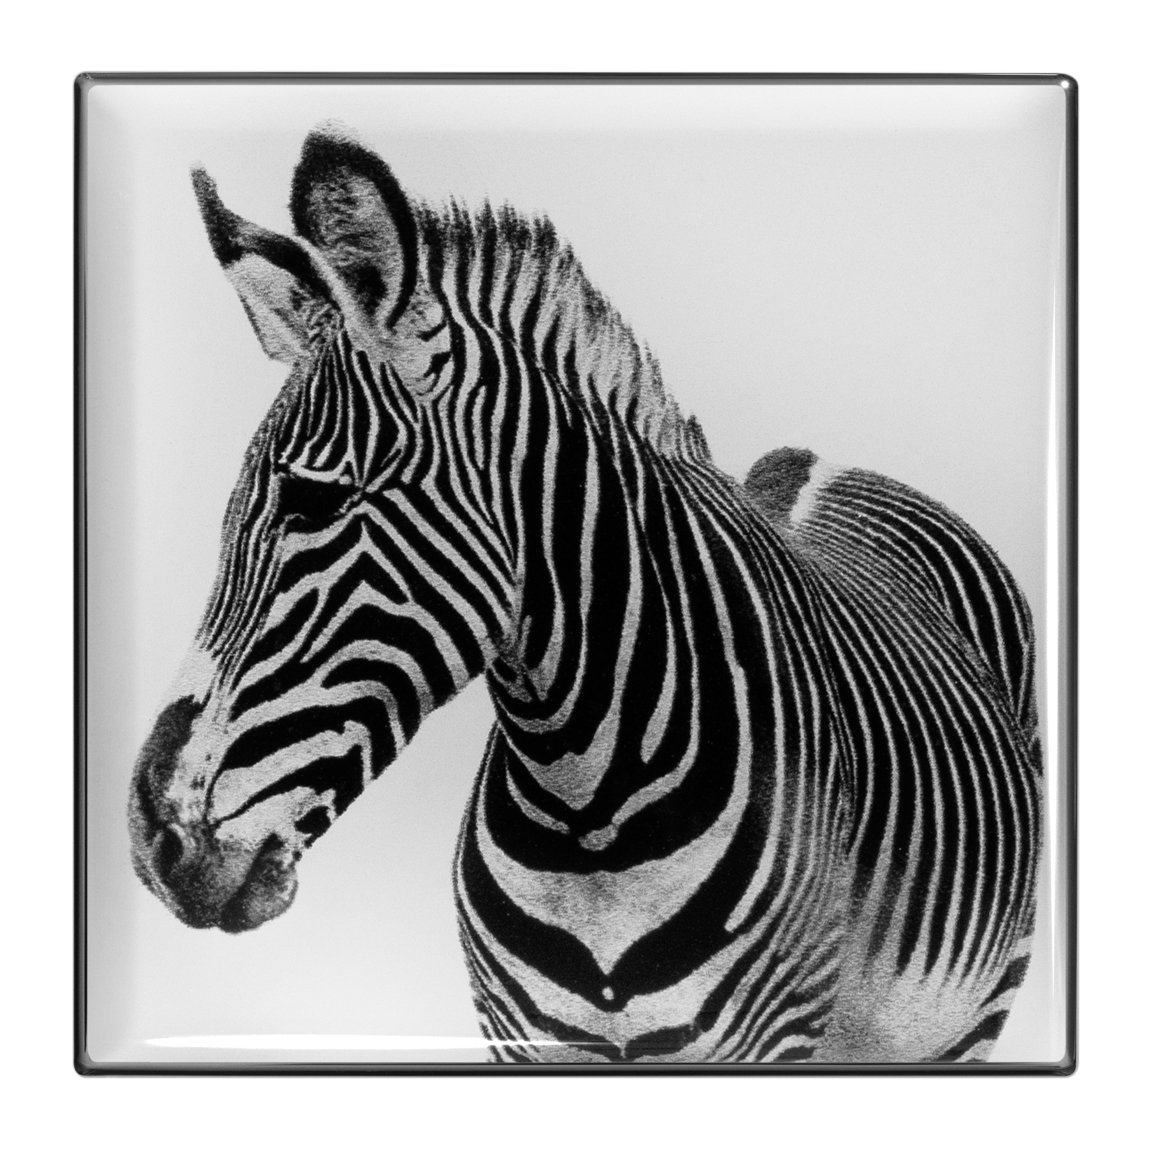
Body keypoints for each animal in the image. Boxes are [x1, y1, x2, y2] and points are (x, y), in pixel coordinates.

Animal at [129, 127, 1042, 1064]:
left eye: (313, 502)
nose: (152, 841)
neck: (589, 815)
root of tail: (825, 460)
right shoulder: (520, 1040)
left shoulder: (772, 1038)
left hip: (970, 1017)